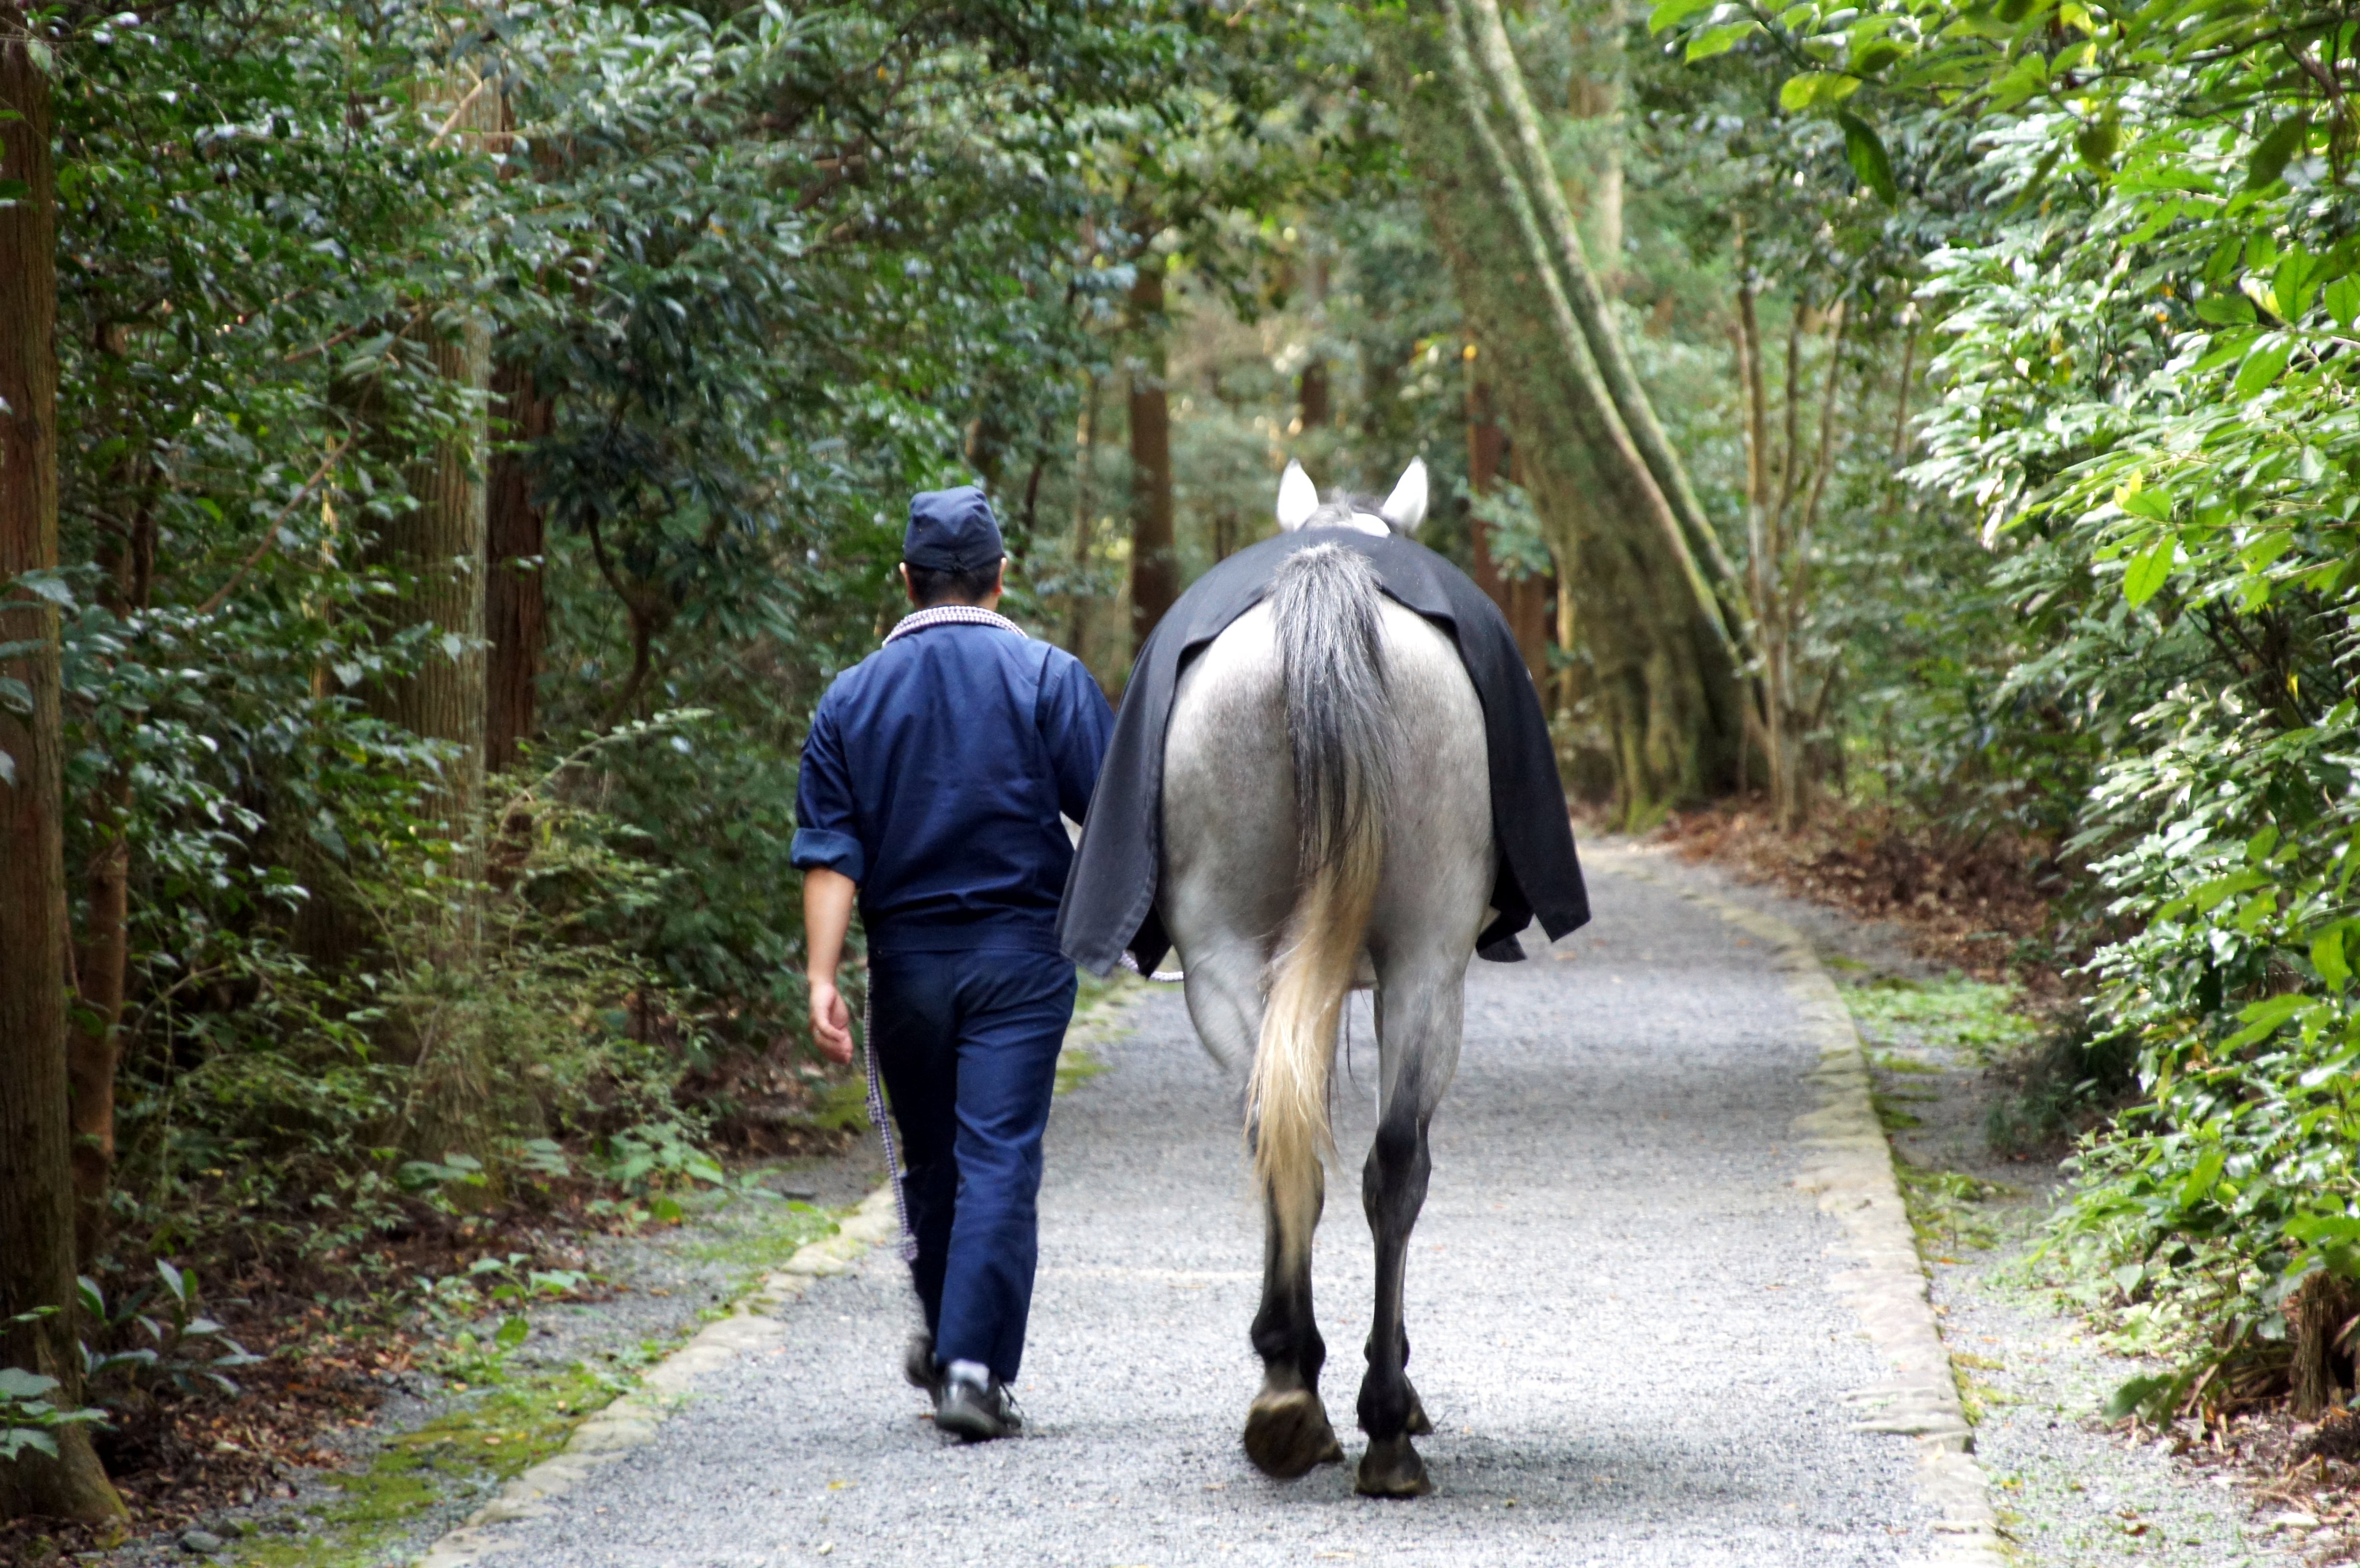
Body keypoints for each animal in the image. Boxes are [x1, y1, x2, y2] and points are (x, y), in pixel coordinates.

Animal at [1160, 456, 1494, 1499]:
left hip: (1223, 960)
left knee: (1280, 1140)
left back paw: (1286, 1392)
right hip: (1428, 969)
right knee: (1394, 1168)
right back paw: (1382, 1419)